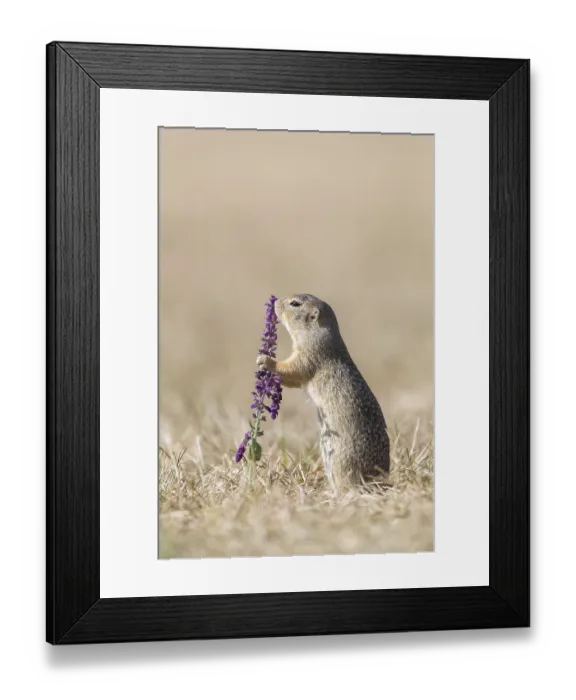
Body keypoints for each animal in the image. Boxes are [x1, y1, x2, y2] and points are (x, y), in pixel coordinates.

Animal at [257, 294, 390, 487]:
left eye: (295, 303)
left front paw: (265, 359)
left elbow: (293, 368)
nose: (275, 302)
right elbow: (293, 379)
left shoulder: (310, 354)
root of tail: (380, 476)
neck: (321, 333)